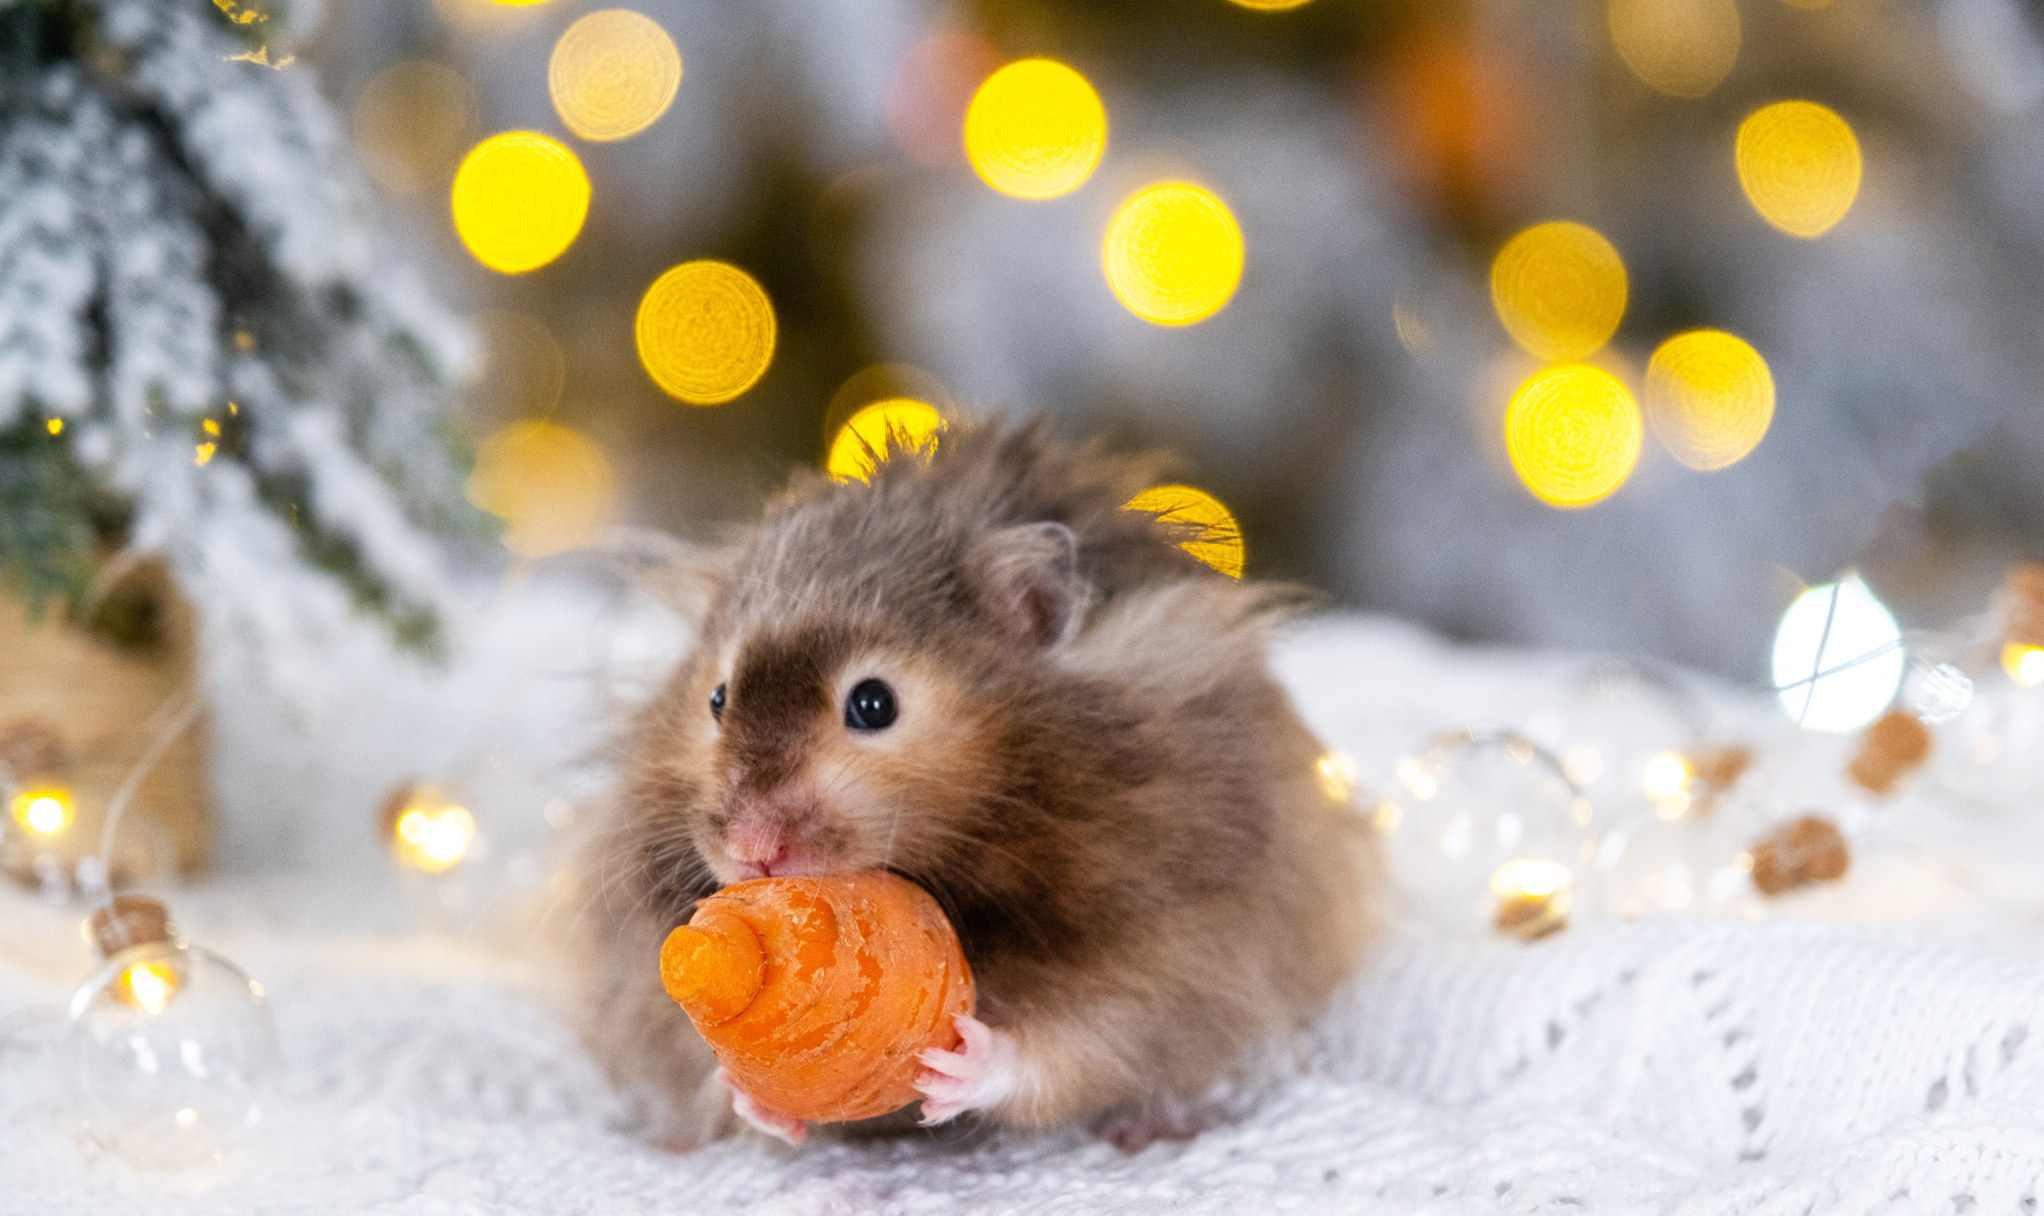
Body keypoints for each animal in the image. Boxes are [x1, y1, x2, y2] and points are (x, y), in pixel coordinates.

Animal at [584, 418, 1381, 1152]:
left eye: (873, 704)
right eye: (717, 699)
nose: (753, 850)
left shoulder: (1175, 945)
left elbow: (1077, 1047)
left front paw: (963, 1065)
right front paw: (745, 1093)